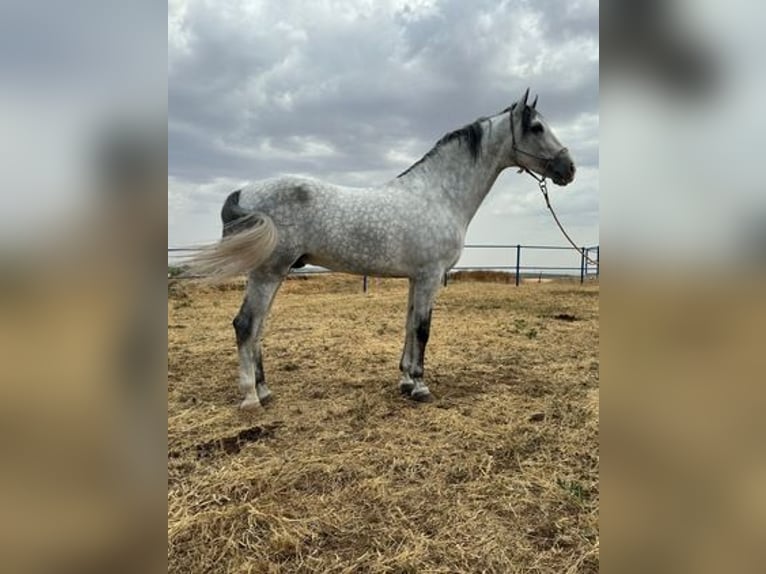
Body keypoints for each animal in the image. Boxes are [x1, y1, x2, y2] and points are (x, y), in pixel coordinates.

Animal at [190, 89, 576, 410]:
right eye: (537, 127)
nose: (569, 169)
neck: (439, 194)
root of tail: (243, 192)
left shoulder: (416, 278)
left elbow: (409, 325)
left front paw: (405, 380)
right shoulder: (430, 276)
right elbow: (423, 329)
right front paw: (420, 387)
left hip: (274, 273)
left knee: (258, 327)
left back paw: (265, 390)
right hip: (267, 272)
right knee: (246, 325)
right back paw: (251, 398)